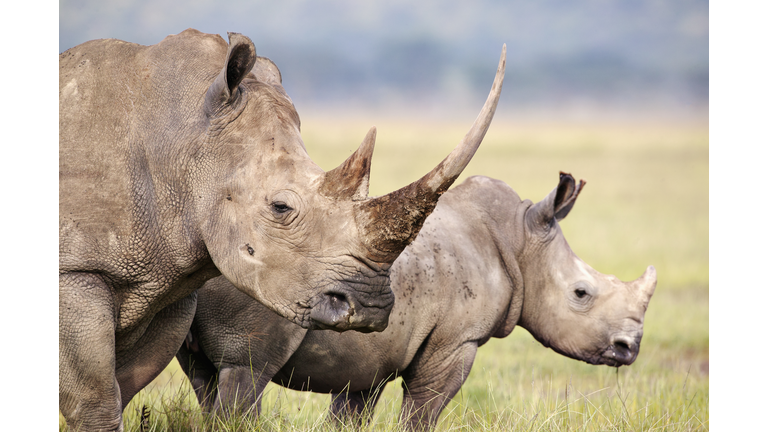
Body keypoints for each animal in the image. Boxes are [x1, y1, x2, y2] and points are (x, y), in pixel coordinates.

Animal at [58, 28, 504, 430]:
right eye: (281, 207)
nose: (370, 308)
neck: (182, 140)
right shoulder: (75, 270)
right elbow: (96, 398)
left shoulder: (166, 279)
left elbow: (124, 385)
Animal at [177, 174, 656, 430]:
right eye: (581, 293)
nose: (629, 348)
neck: (520, 240)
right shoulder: (456, 341)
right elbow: (424, 411)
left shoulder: (369, 358)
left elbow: (350, 413)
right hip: (257, 277)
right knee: (246, 371)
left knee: (205, 376)